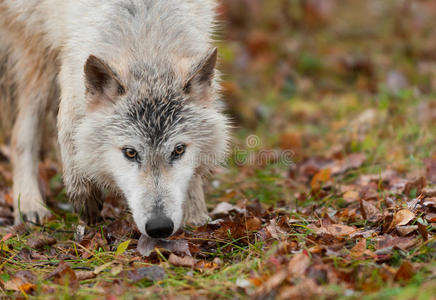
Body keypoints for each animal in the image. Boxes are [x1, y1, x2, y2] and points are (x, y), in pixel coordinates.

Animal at [0, 0, 230, 239]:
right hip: (37, 56)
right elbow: (69, 128)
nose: (159, 226)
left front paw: (196, 214)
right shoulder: (69, 56)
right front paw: (83, 193)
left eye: (178, 150)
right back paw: (29, 206)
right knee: (21, 136)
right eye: (130, 152)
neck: (145, 39)